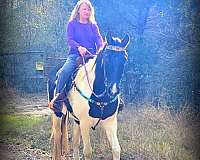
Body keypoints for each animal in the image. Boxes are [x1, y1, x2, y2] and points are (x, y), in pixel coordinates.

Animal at [50, 32, 130, 160]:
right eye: (106, 57)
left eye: (125, 59)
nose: (113, 91)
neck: (100, 97)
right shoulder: (84, 123)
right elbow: (87, 152)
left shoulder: (111, 122)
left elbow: (116, 149)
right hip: (57, 114)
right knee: (58, 138)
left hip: (75, 120)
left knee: (75, 143)